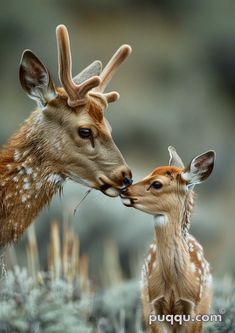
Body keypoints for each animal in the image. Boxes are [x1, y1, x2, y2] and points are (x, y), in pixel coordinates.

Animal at [121, 147, 215, 330]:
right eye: (148, 173)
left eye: (157, 184)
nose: (124, 190)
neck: (173, 283)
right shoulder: (153, 306)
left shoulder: (194, 308)